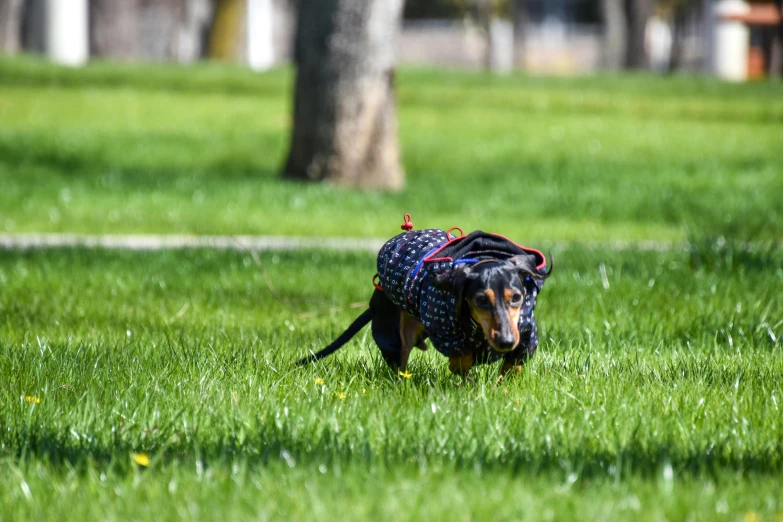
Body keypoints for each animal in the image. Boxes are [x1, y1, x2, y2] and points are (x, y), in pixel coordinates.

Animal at [298, 225, 548, 376]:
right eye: (481, 300)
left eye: (516, 297)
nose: (506, 341)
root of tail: (375, 299)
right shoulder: (449, 338)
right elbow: (462, 361)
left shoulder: (525, 335)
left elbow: (510, 368)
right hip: (394, 336)